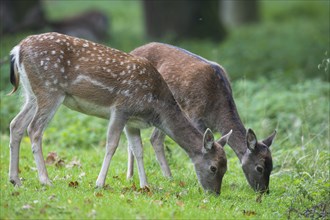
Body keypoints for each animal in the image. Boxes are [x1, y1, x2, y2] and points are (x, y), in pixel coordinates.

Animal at [7, 32, 231, 194]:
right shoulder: (121, 108)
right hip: (50, 90)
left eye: (226, 167)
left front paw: (144, 186)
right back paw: (45, 180)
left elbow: (138, 149)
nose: (215, 193)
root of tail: (18, 49)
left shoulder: (133, 121)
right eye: (213, 167)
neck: (156, 107)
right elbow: (112, 145)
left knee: (16, 124)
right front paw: (99, 183)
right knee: (34, 129)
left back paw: (15, 180)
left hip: (32, 94)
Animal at [130, 42, 278, 193]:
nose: (264, 191)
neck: (216, 110)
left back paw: (168, 177)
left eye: (272, 167)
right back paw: (131, 176)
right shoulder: (195, 114)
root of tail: (133, 50)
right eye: (259, 168)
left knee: (153, 138)